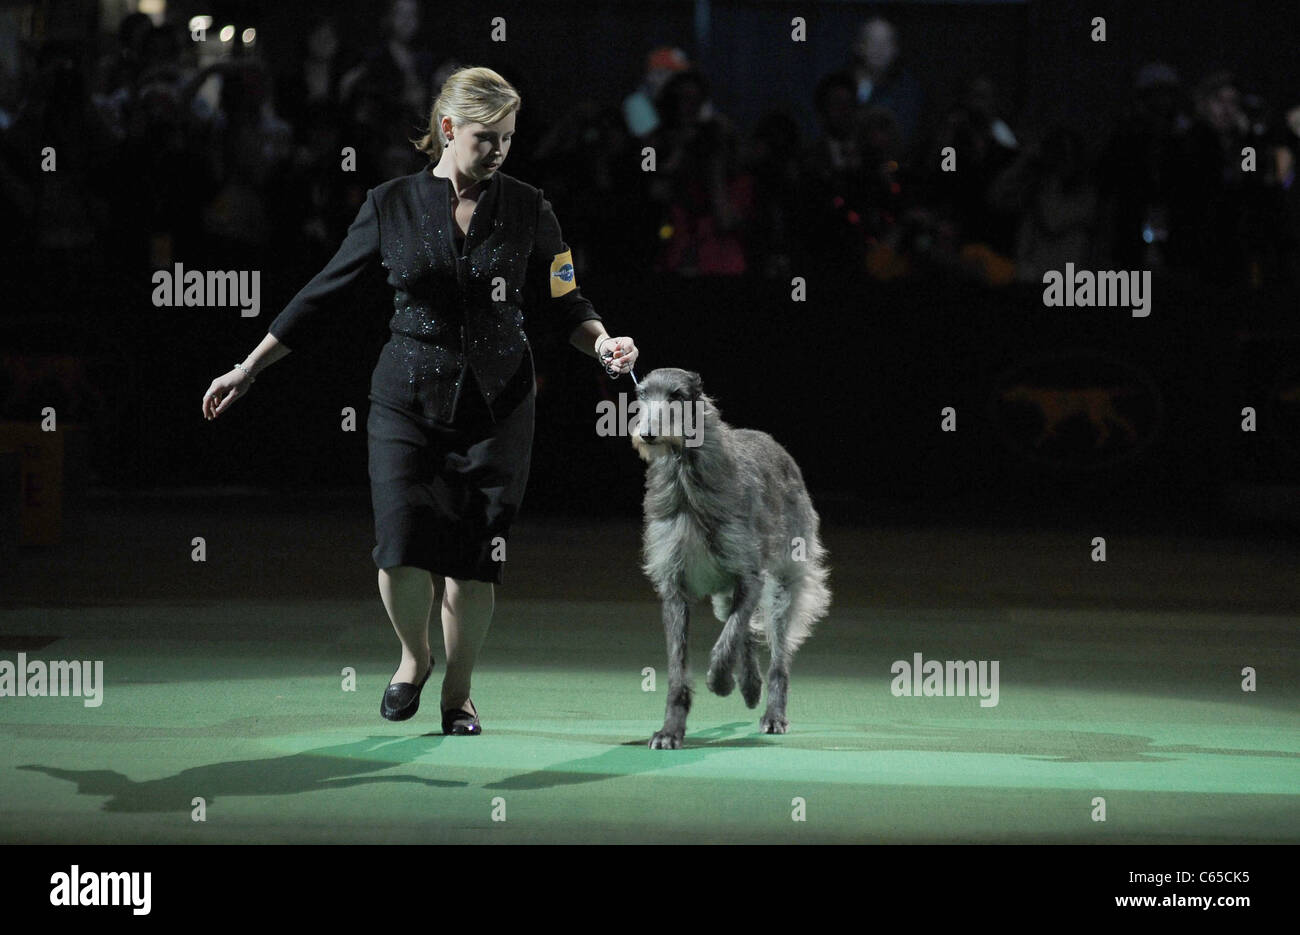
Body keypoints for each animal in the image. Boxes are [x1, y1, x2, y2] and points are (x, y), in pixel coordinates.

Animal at [631, 369, 832, 749]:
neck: (686, 478)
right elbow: (681, 666)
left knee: (775, 654)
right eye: (641, 395)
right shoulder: (674, 588)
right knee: (745, 633)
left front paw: (720, 681)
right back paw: (750, 683)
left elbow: (728, 640)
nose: (647, 433)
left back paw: (772, 711)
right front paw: (670, 730)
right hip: (727, 594)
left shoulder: (749, 576)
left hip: (783, 583)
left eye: (677, 396)